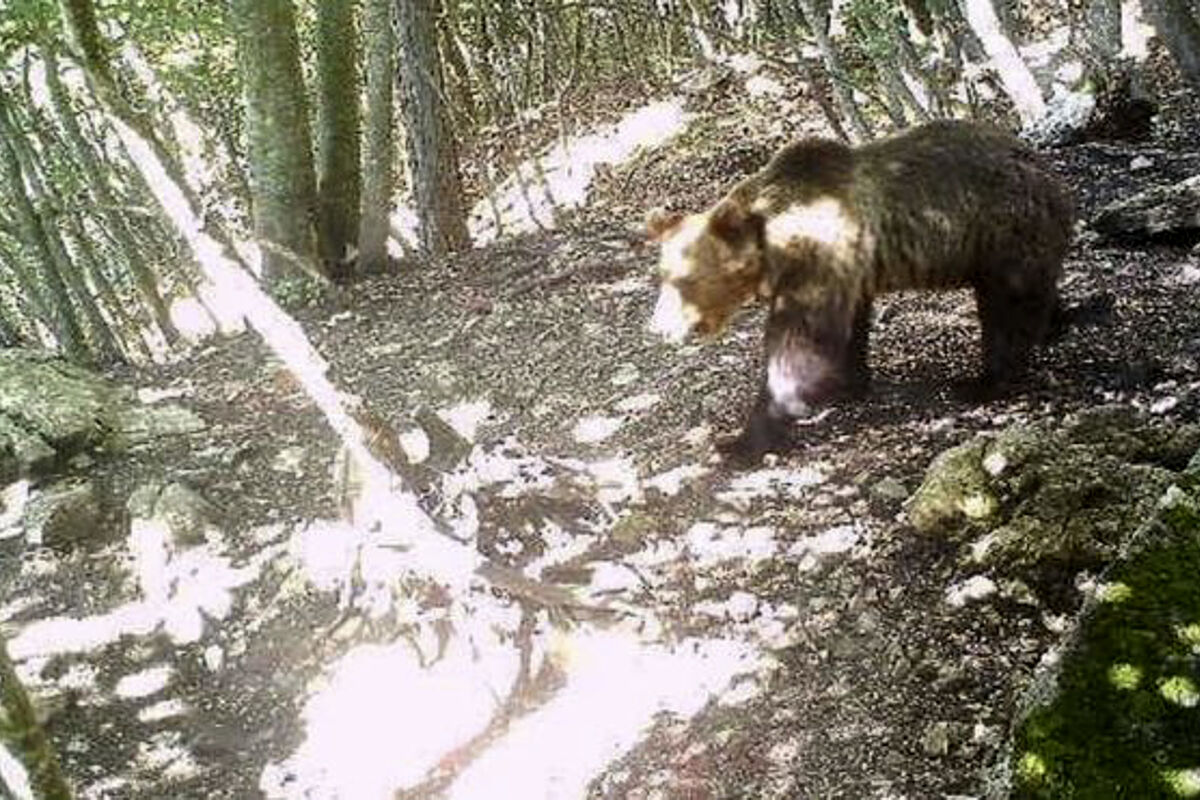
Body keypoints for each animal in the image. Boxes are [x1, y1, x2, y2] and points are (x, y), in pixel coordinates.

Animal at [648, 116, 1080, 460]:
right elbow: (848, 327)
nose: (658, 328)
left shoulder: (817, 256)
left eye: (684, 280)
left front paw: (744, 439)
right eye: (662, 274)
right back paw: (1059, 322)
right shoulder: (848, 270)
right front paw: (846, 383)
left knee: (1008, 307)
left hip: (1000, 229)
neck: (773, 246)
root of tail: (1047, 170)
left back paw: (983, 381)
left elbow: (799, 341)